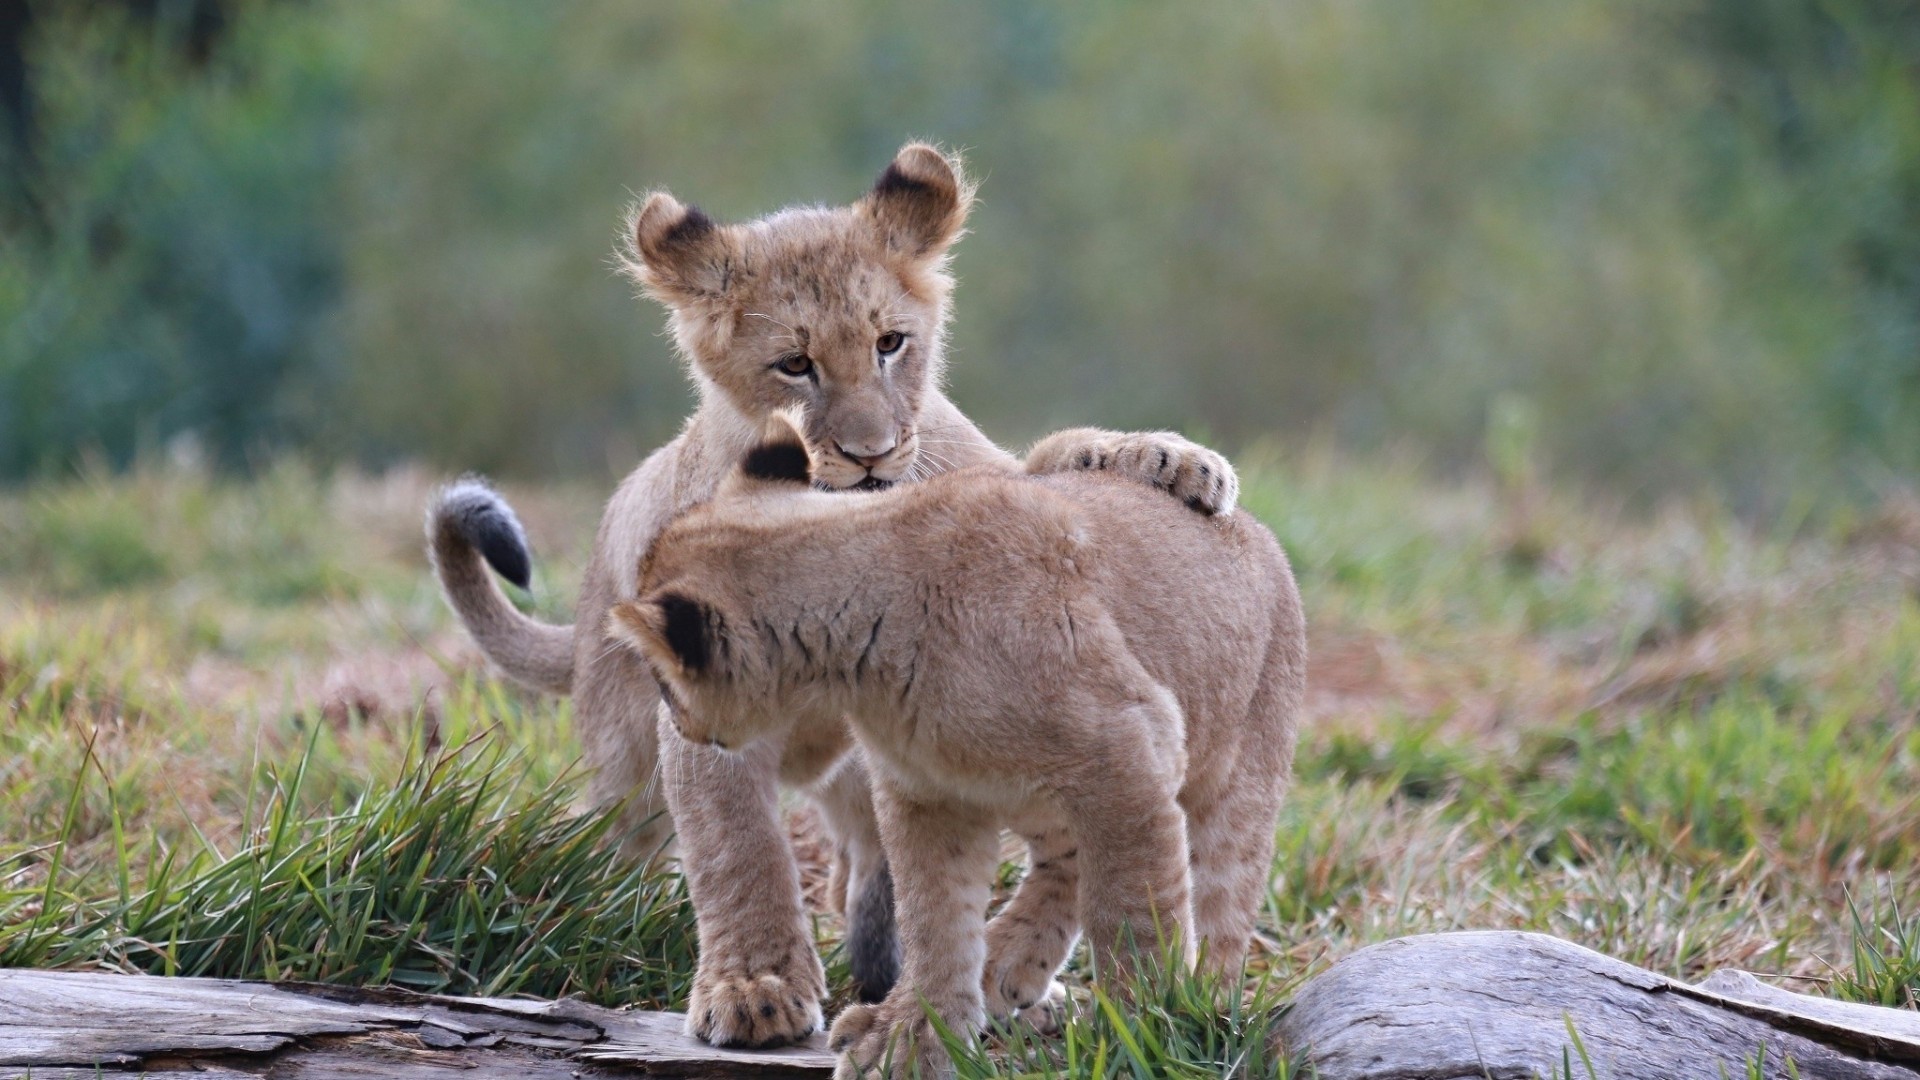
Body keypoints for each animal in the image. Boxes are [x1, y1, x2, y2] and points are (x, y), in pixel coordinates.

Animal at [427, 142, 1241, 1047]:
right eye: (795, 364)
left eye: (891, 343)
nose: (871, 454)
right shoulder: (704, 693)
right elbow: (737, 846)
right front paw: (753, 990)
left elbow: (1049, 459)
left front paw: (1172, 461)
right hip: (624, 763)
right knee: (616, 836)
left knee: (868, 863)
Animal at [606, 413, 1306, 1079]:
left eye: (665, 682)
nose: (682, 727)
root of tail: (1262, 532)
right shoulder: (927, 794)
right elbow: (935, 919)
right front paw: (912, 1039)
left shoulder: (1131, 745)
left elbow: (1132, 911)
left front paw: (1144, 1028)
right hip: (1039, 799)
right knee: (1064, 863)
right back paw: (1000, 971)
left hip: (1236, 774)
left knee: (1221, 896)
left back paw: (1203, 1008)